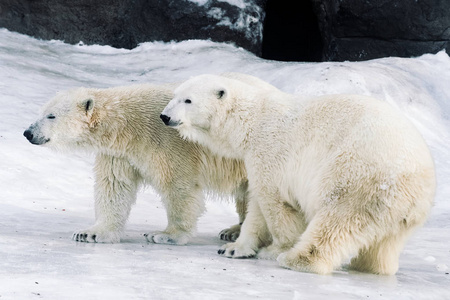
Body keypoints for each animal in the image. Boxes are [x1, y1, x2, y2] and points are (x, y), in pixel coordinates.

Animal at [24, 74, 282, 245]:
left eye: (51, 116)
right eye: (41, 112)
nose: (28, 132)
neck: (129, 126)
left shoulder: (171, 143)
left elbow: (179, 188)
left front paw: (165, 235)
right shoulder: (120, 153)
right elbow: (114, 187)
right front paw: (91, 232)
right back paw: (233, 230)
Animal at [161, 73, 436, 274]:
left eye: (188, 100)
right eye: (175, 96)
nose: (164, 116)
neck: (251, 121)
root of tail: (418, 178)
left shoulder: (270, 152)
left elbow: (276, 204)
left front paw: (274, 249)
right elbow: (257, 207)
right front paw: (233, 248)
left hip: (357, 175)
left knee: (336, 220)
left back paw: (296, 259)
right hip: (399, 212)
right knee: (383, 246)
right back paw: (371, 267)